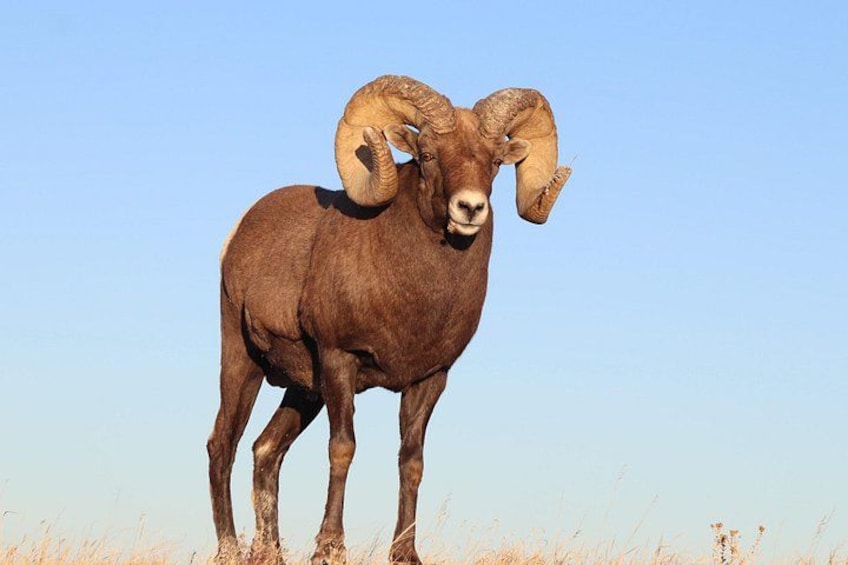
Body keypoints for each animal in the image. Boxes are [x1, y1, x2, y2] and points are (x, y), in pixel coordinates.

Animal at [207, 75, 572, 565]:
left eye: (496, 161)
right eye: (428, 155)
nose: (470, 209)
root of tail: (239, 235)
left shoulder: (429, 379)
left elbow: (411, 461)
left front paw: (405, 554)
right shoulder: (340, 361)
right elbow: (342, 449)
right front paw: (330, 548)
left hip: (304, 391)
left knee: (266, 451)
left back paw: (271, 553)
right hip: (243, 363)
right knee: (222, 445)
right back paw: (229, 549)